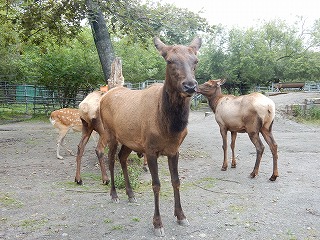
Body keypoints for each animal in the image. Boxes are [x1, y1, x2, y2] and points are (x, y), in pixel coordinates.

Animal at [97, 37, 201, 236]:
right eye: (169, 61)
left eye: (196, 61)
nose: (190, 85)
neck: (169, 126)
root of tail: (105, 95)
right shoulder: (151, 150)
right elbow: (156, 184)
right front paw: (158, 223)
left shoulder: (174, 150)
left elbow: (176, 181)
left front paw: (181, 215)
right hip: (110, 133)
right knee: (111, 159)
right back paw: (114, 194)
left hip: (129, 140)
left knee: (122, 157)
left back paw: (131, 194)